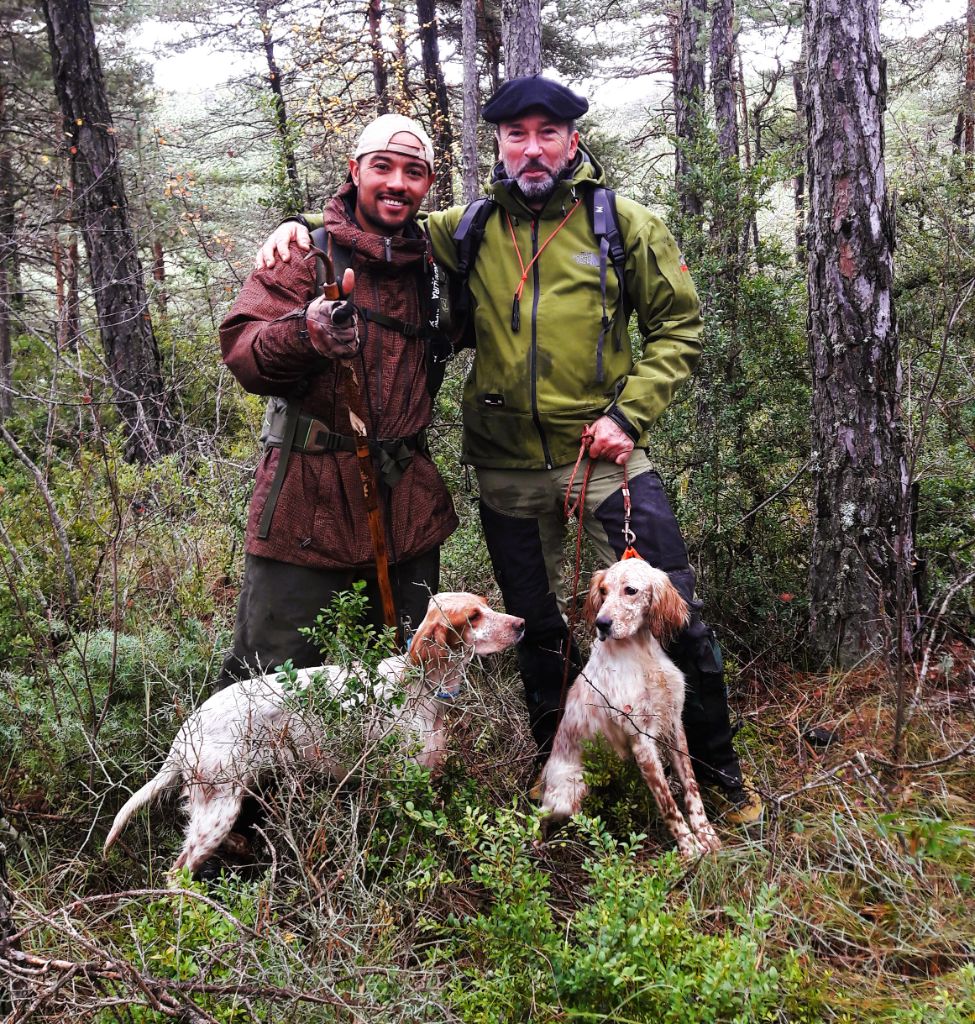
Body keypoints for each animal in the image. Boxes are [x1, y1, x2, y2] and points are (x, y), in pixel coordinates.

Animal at [106, 593, 524, 872]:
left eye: (487, 605)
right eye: (474, 616)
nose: (520, 623)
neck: (418, 684)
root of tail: (186, 730)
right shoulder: (403, 782)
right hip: (218, 808)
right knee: (177, 873)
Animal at [536, 557, 721, 860]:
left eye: (630, 590)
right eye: (603, 591)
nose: (601, 623)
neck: (641, 651)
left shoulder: (674, 724)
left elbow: (691, 787)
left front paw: (706, 835)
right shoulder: (641, 740)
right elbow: (668, 804)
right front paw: (690, 848)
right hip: (573, 788)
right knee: (541, 816)